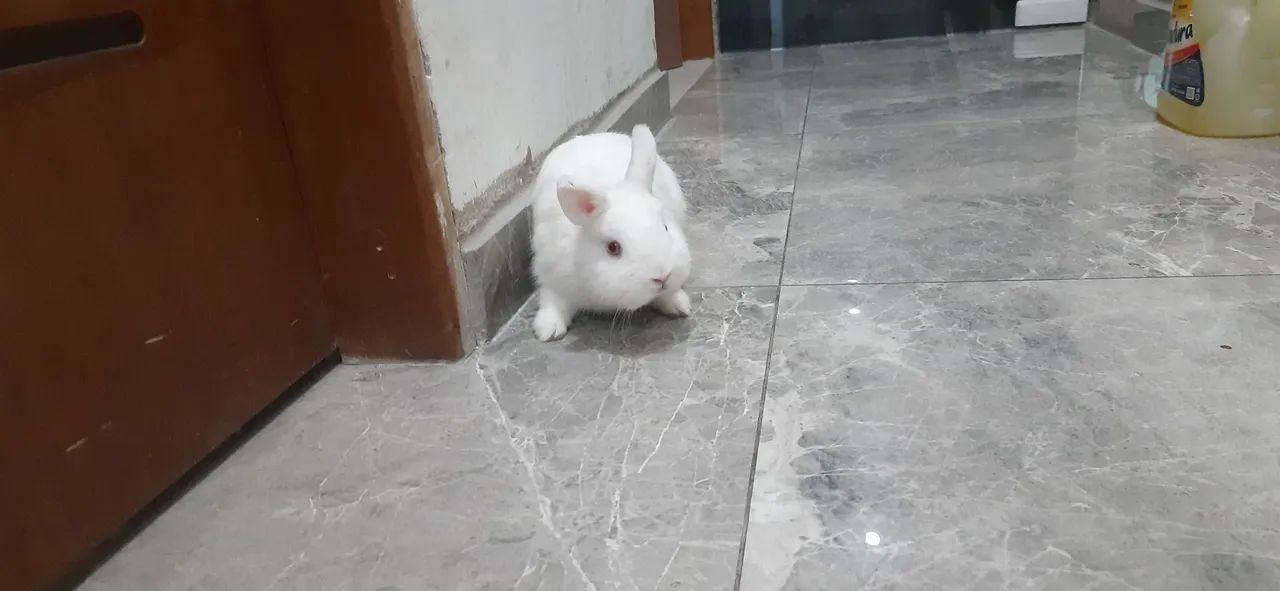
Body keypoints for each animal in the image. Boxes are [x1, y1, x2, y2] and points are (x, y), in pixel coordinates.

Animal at [530, 124, 692, 342]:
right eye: (613, 247)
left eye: (665, 227)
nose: (662, 277)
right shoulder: (551, 277)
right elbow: (552, 301)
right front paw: (548, 330)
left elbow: (667, 294)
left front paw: (679, 305)